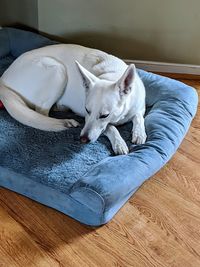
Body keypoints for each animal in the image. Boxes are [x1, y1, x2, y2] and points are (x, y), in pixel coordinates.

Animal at [0, 44, 146, 155]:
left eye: (104, 115)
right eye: (87, 110)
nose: (83, 139)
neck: (111, 75)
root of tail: (2, 79)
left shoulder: (140, 107)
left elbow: (138, 117)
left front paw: (139, 133)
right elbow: (110, 127)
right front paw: (119, 143)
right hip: (58, 70)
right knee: (41, 113)